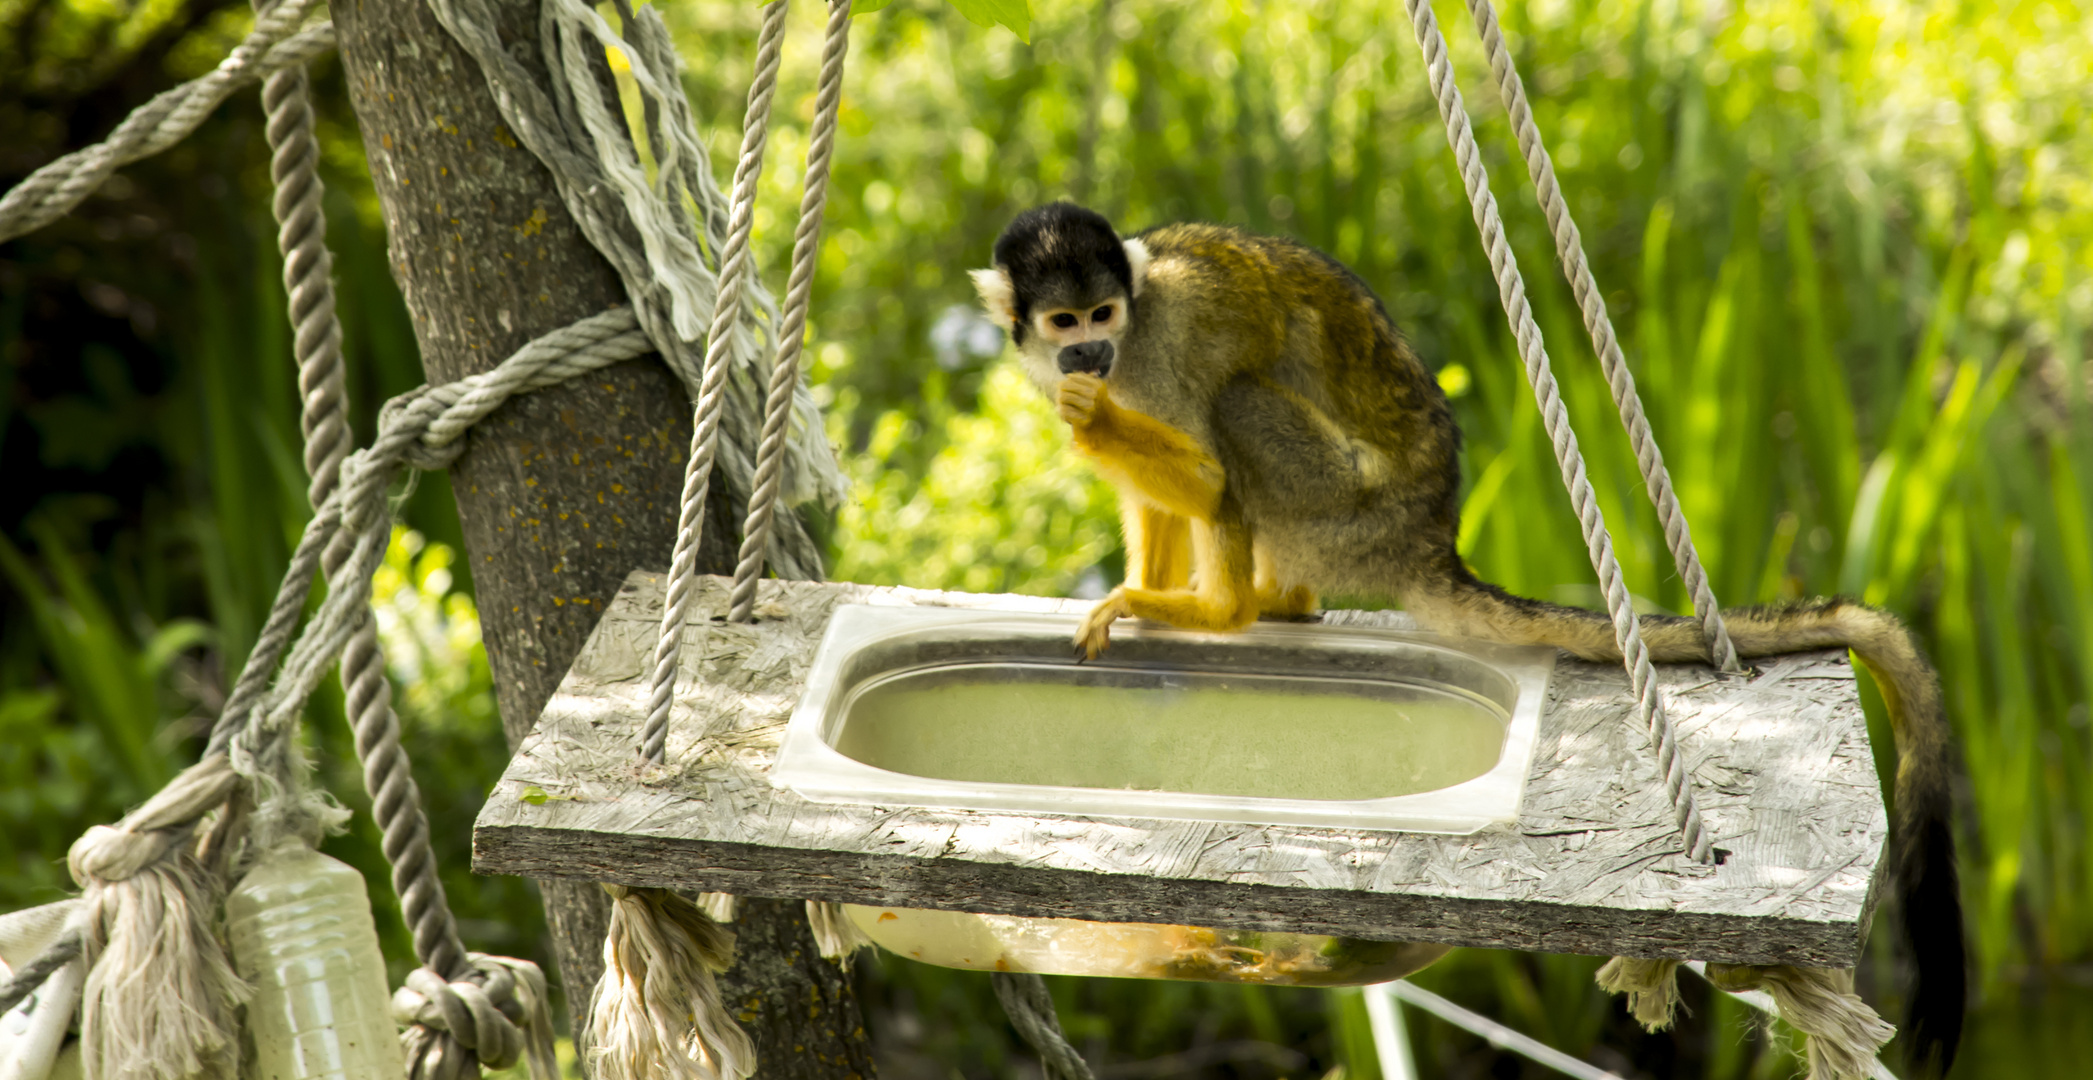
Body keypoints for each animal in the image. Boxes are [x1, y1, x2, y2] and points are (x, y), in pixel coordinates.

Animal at [971, 199, 1967, 1071]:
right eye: (1063, 319)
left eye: (1102, 313)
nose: (1089, 349)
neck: (1131, 335)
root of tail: (1425, 541)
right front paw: (1129, 561)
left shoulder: (1168, 344)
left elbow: (1206, 468)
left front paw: (1100, 434)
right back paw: (1267, 605)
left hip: (1341, 505)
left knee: (1238, 411)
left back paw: (1225, 611)